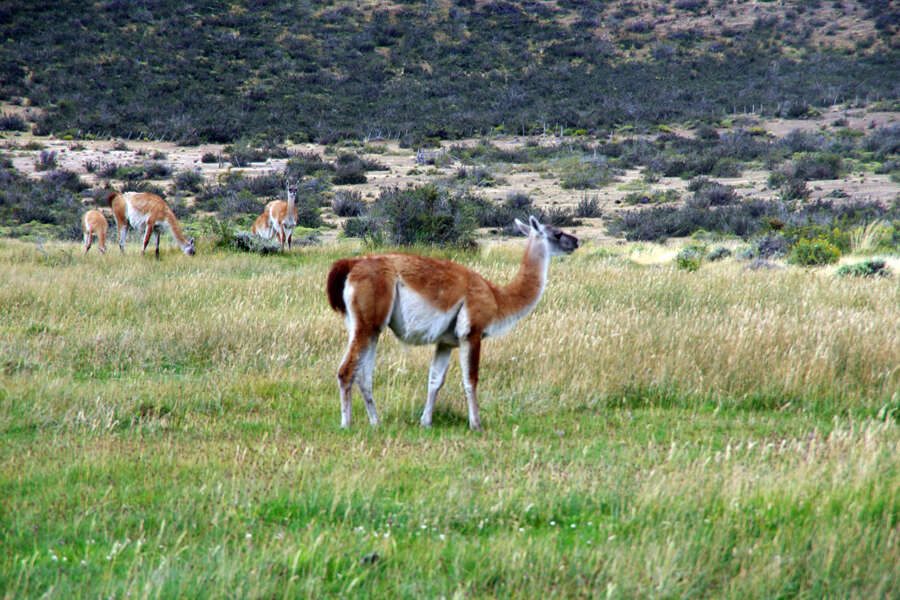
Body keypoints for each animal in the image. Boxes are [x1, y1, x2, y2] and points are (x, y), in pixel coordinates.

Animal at [325, 215, 579, 431]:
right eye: (557, 233)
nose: (576, 241)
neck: (497, 297)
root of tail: (352, 264)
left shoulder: (446, 342)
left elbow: (435, 380)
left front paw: (426, 422)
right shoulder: (472, 332)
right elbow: (471, 379)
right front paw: (476, 424)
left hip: (366, 327)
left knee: (364, 376)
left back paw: (376, 423)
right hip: (367, 324)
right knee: (346, 371)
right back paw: (346, 424)